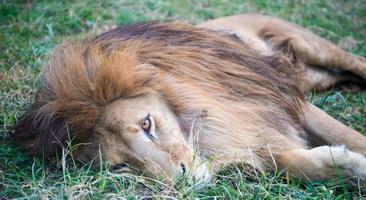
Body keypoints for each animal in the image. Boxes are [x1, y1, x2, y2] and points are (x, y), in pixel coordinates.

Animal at [10, 13, 366, 186]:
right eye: (122, 166)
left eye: (147, 124)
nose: (181, 180)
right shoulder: (254, 139)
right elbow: (292, 164)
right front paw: (346, 169)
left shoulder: (277, 101)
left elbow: (347, 135)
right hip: (313, 76)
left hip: (310, 46)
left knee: (353, 62)